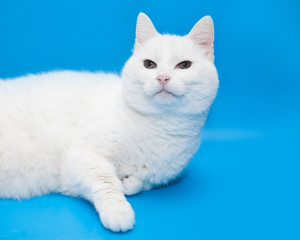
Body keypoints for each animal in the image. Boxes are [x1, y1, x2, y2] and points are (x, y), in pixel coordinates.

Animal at [0, 12, 218, 231]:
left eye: (184, 65)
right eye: (150, 64)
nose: (163, 78)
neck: (161, 128)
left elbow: (140, 183)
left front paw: (129, 182)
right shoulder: (83, 158)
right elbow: (106, 182)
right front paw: (118, 211)